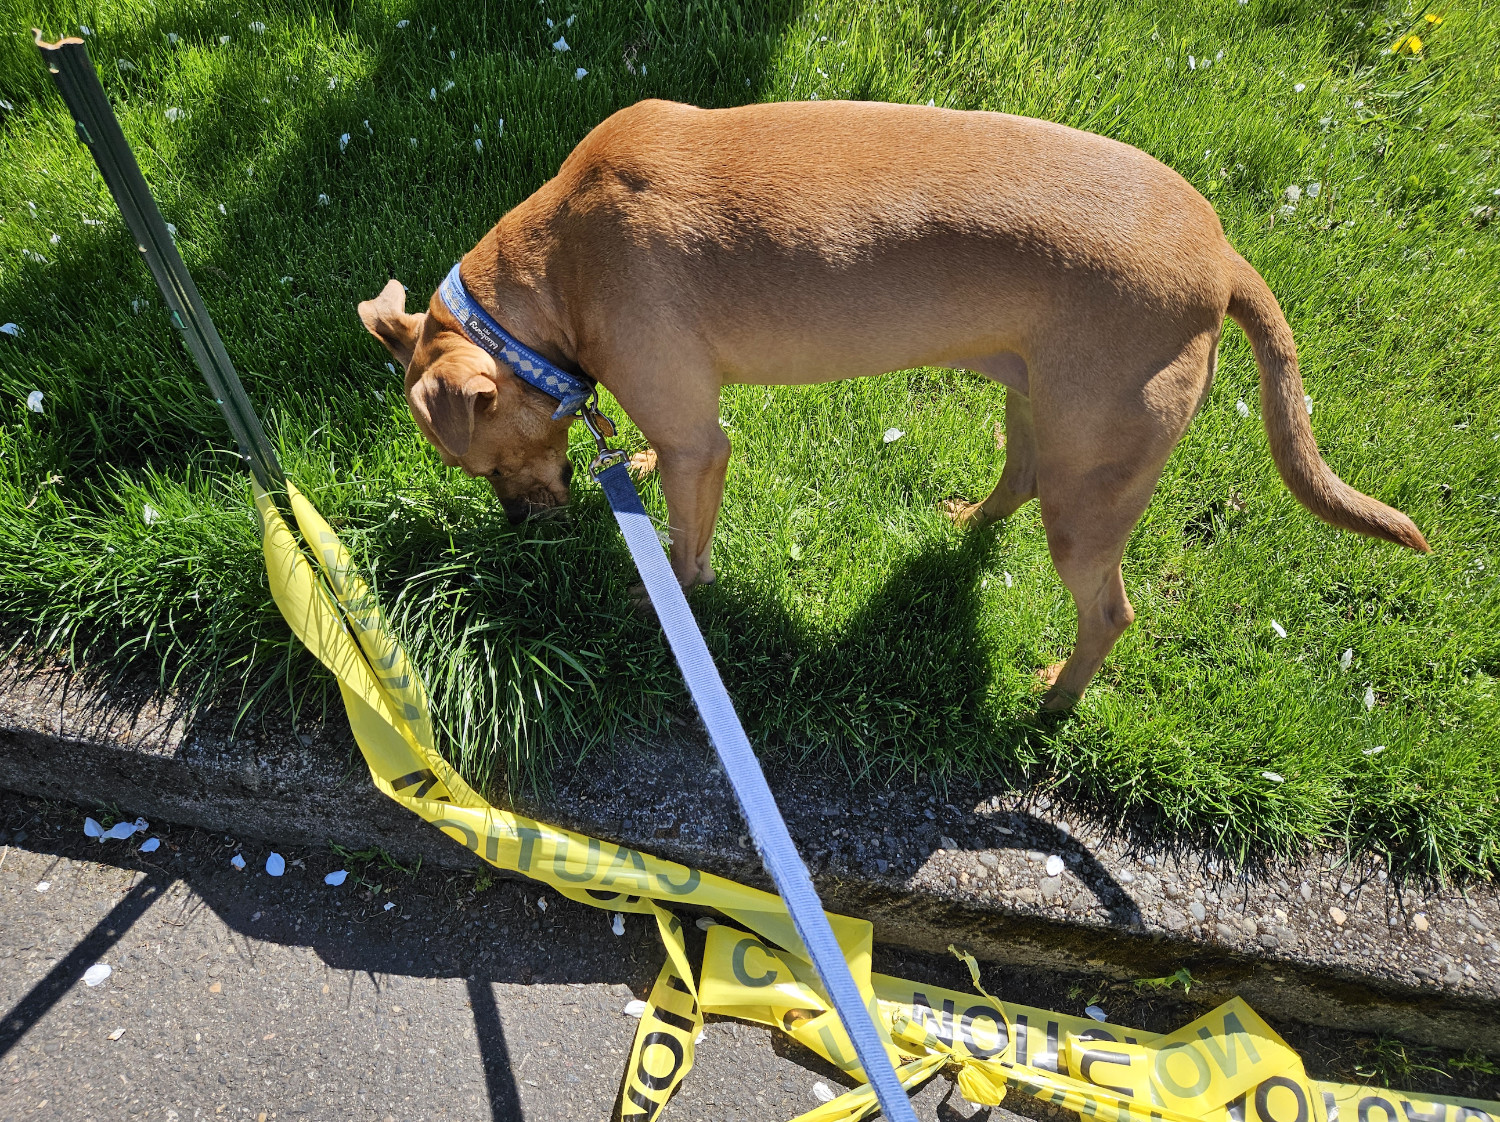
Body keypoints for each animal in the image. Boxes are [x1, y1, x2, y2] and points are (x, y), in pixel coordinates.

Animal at [357, 98, 1422, 711]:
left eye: (476, 462)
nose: (522, 523)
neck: (556, 265)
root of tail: (1223, 256)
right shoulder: (678, 416)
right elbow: (661, 456)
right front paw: (638, 469)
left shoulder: (704, 441)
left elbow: (687, 547)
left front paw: (665, 596)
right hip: (1038, 408)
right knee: (1017, 479)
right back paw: (969, 522)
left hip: (1092, 493)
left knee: (1109, 610)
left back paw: (1055, 697)